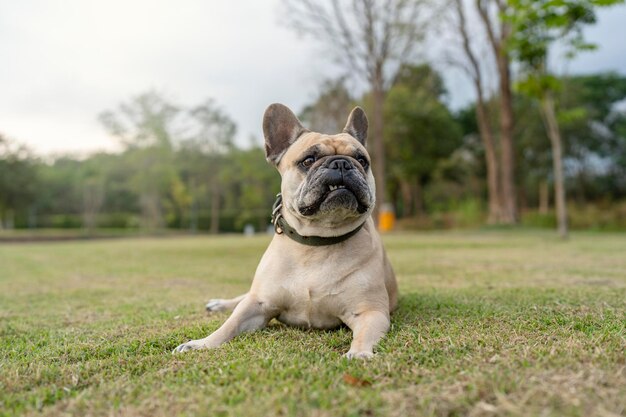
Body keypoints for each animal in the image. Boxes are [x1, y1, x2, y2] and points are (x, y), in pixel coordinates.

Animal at [172, 103, 394, 358]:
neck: (317, 241)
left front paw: (358, 354)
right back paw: (219, 304)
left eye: (362, 160)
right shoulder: (258, 304)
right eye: (308, 160)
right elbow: (229, 325)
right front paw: (200, 343)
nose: (341, 163)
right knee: (241, 299)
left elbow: (364, 335)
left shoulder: (371, 312)